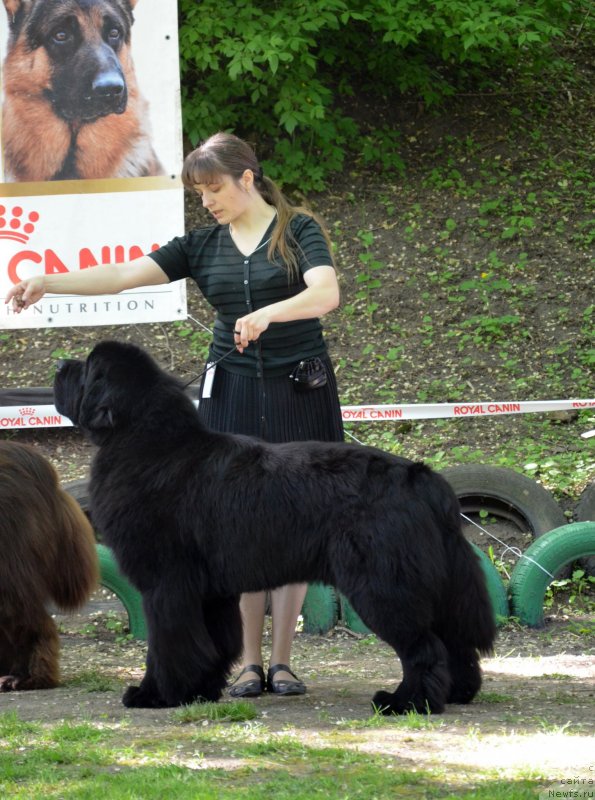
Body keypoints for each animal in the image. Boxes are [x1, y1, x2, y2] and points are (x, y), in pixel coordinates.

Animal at [56, 340, 496, 716]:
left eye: (88, 368)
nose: (60, 364)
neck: (147, 443)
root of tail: (422, 477)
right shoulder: (209, 590)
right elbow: (211, 644)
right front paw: (200, 691)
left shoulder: (166, 584)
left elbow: (168, 646)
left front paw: (155, 695)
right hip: (429, 582)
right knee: (454, 641)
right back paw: (457, 692)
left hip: (384, 584)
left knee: (425, 647)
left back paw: (406, 702)